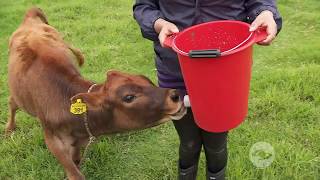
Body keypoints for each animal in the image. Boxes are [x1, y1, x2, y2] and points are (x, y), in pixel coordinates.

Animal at [5, 7, 185, 180]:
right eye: (128, 97)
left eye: (148, 81)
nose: (175, 95)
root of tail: (29, 19)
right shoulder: (53, 141)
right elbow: (75, 174)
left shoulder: (79, 143)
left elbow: (77, 161)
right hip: (20, 97)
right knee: (12, 103)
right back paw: (9, 128)